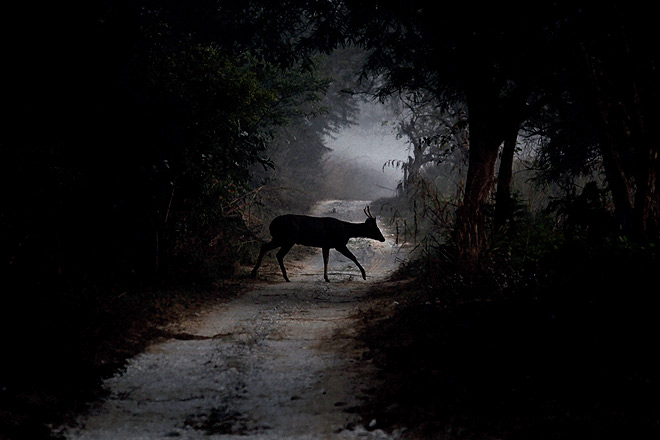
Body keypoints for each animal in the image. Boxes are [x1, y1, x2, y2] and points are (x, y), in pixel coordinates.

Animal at [253, 206, 386, 282]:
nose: (383, 238)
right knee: (278, 254)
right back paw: (286, 277)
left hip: (278, 238)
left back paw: (254, 272)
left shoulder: (326, 245)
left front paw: (326, 278)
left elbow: (325, 260)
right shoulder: (339, 244)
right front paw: (364, 275)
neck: (346, 231)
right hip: (288, 238)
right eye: (375, 228)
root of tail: (271, 224)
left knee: (264, 247)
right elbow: (353, 257)